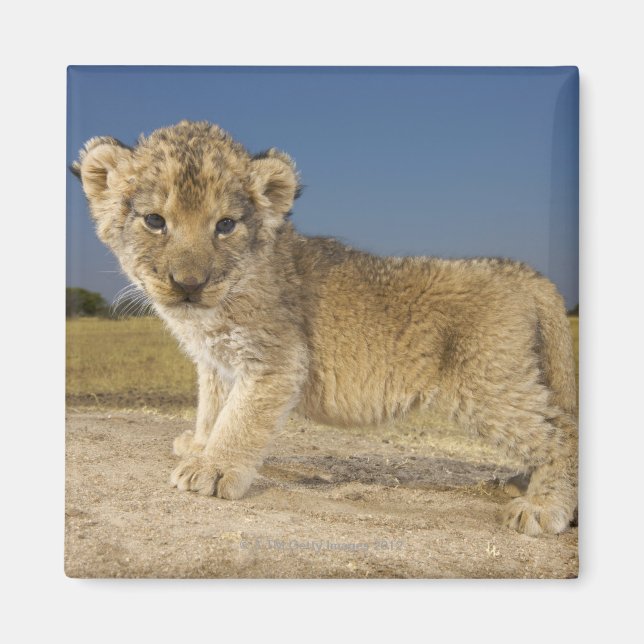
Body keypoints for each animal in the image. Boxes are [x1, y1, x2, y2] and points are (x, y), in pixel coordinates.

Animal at [73, 120, 578, 536]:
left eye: (226, 225)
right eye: (155, 221)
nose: (189, 284)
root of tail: (522, 272)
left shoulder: (277, 360)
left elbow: (238, 420)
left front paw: (212, 469)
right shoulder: (216, 363)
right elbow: (211, 409)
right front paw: (197, 446)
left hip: (487, 384)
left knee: (561, 431)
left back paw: (543, 507)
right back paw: (519, 484)